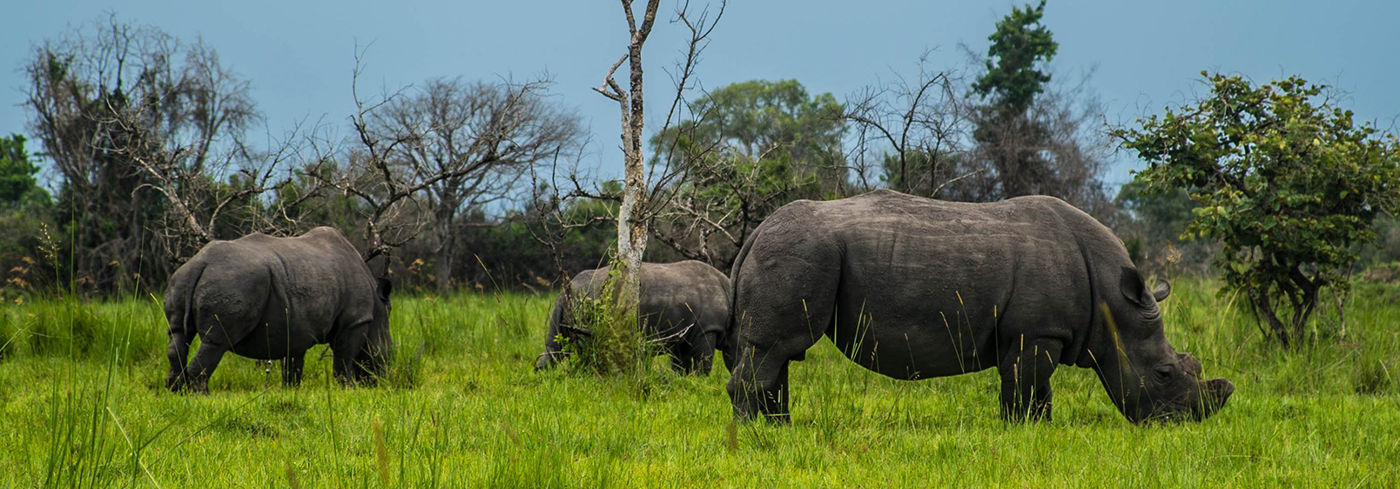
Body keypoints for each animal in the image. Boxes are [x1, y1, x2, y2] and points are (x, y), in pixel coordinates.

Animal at [163, 227, 393, 393]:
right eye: (388, 352)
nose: (384, 378)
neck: (377, 307)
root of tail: (200, 263)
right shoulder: (355, 320)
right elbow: (344, 358)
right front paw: (350, 390)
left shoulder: (298, 326)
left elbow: (293, 361)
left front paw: (291, 391)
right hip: (232, 282)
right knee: (216, 342)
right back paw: (201, 395)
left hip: (181, 279)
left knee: (178, 334)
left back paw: (175, 391)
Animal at [536, 260, 734, 374]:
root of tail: (568, 289)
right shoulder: (707, 329)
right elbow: (704, 363)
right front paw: (701, 381)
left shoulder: (683, 333)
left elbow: (680, 365)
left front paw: (685, 381)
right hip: (590, 299)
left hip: (568, 301)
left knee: (555, 347)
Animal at [726, 190, 1234, 423]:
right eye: (1164, 373)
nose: (1185, 423)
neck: (1112, 302)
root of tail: (756, 231)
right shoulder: (1038, 331)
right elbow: (1025, 386)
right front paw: (1021, 431)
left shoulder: (1036, 332)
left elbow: (1036, 389)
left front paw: (1040, 430)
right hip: (802, 252)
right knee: (776, 348)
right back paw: (758, 436)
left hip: (798, 254)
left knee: (779, 353)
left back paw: (781, 429)